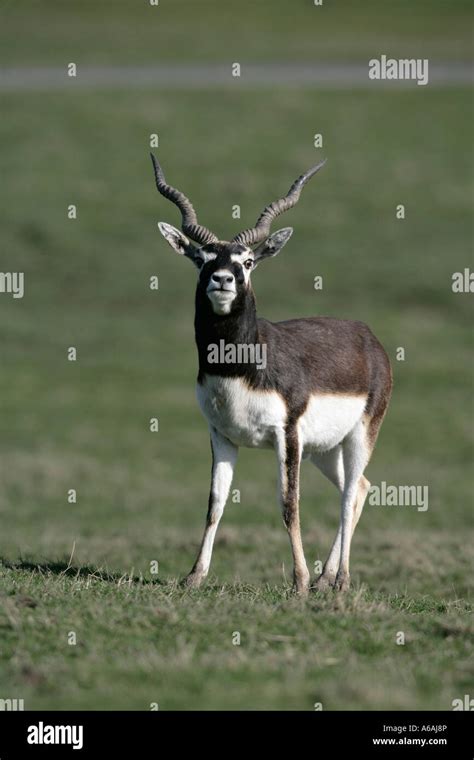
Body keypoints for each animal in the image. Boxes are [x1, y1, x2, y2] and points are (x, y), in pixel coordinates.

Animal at [152, 154, 392, 592]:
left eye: (247, 261)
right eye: (203, 259)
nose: (223, 280)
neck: (239, 368)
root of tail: (367, 336)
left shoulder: (288, 435)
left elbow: (288, 504)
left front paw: (298, 582)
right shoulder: (222, 435)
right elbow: (214, 504)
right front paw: (194, 576)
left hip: (360, 434)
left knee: (350, 493)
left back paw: (340, 580)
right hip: (325, 448)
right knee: (360, 489)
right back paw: (326, 579)